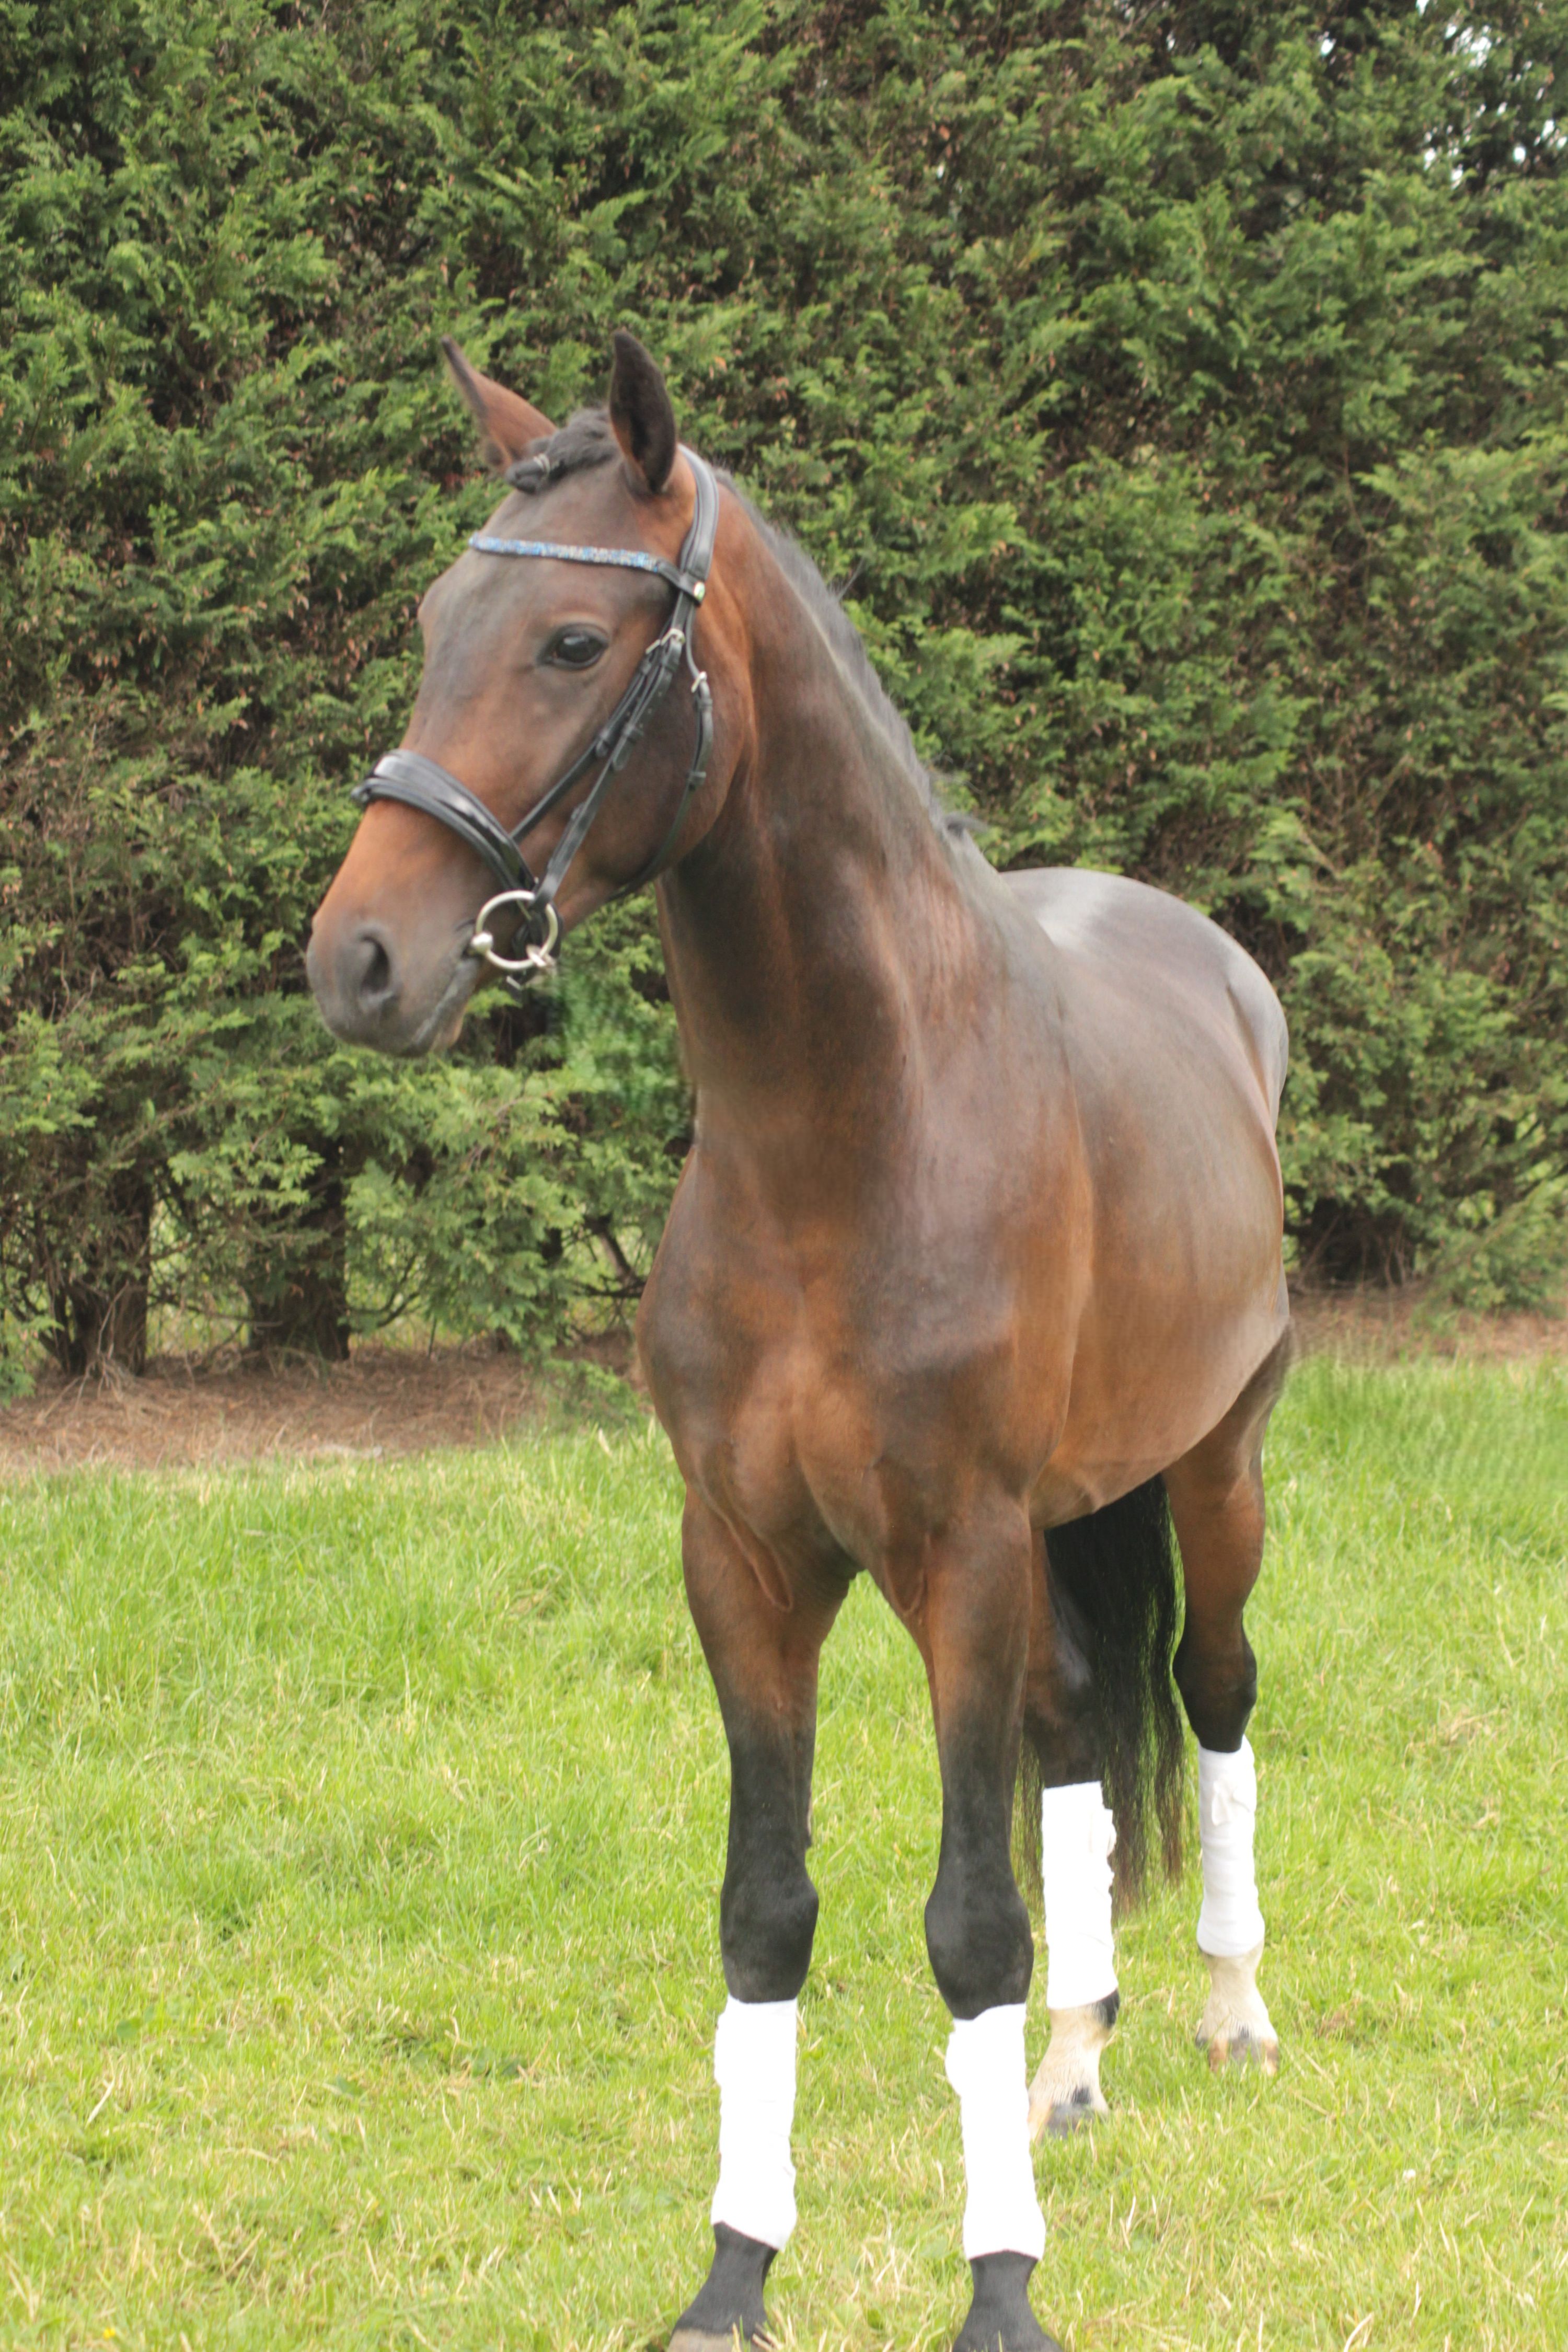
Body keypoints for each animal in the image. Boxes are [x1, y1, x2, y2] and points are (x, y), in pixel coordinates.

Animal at [306, 330, 1291, 2352]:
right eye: (438, 618)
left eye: (573, 644)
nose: (358, 960)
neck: (850, 1134)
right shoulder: (748, 1560)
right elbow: (769, 1910)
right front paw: (733, 2277)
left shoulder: (961, 1554)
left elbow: (968, 1925)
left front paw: (999, 2295)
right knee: (1082, 1734)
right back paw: (1075, 2066)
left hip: (1211, 1467)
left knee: (1215, 1691)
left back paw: (1232, 2013)